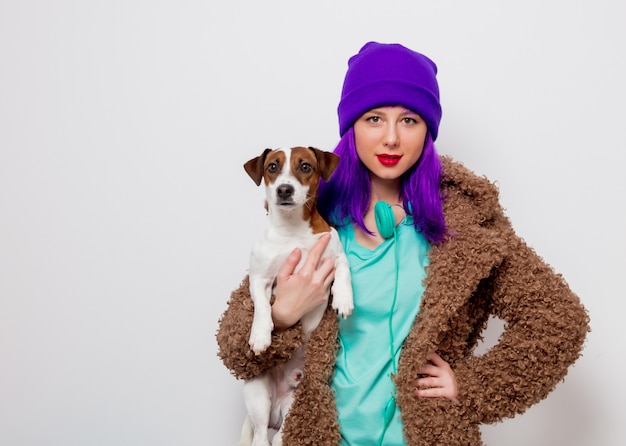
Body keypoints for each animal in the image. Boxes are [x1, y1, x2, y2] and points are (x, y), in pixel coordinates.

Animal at [238, 147, 352, 446]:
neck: (292, 231)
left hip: (293, 408)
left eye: (305, 166)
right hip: (257, 392)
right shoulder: (259, 277)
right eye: (272, 167)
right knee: (260, 437)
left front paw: (343, 298)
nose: (284, 190)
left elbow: (344, 269)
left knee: (280, 437)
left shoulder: (334, 255)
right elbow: (263, 306)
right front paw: (260, 335)